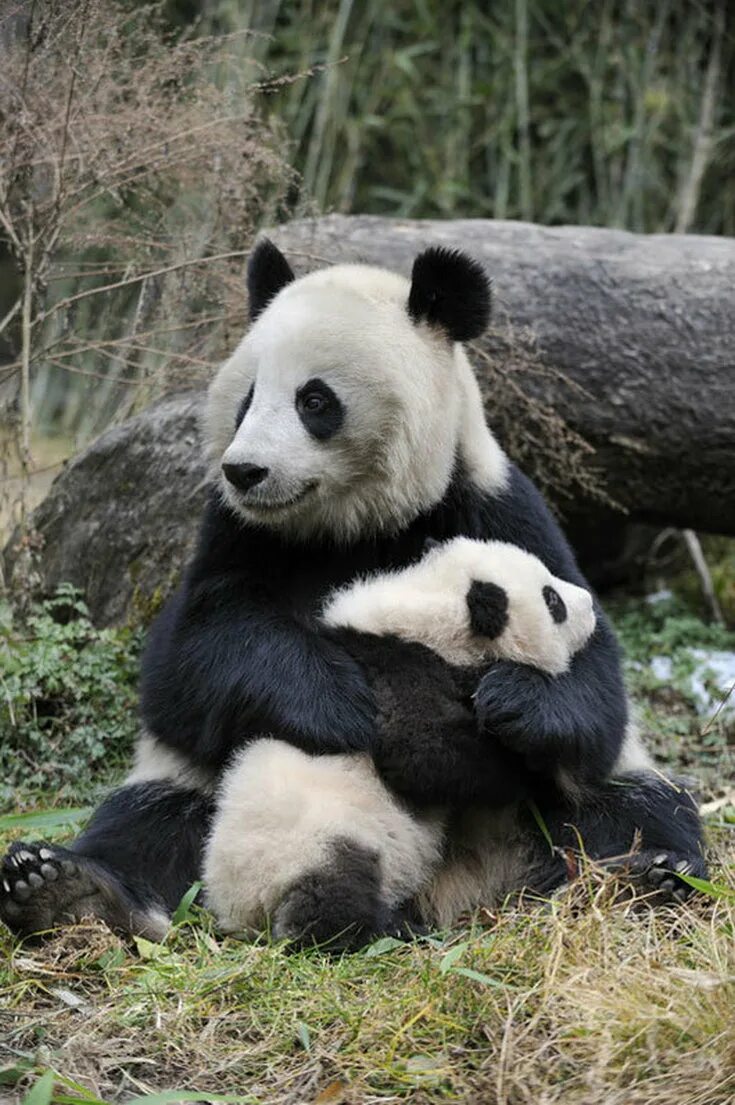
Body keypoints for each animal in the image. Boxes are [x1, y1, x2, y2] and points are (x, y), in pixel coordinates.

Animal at [203, 534, 601, 941]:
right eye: (553, 601)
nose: (589, 604)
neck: (427, 607)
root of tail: (243, 913)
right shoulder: (398, 675)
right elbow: (422, 753)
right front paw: (521, 776)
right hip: (309, 843)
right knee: (331, 897)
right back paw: (394, 928)